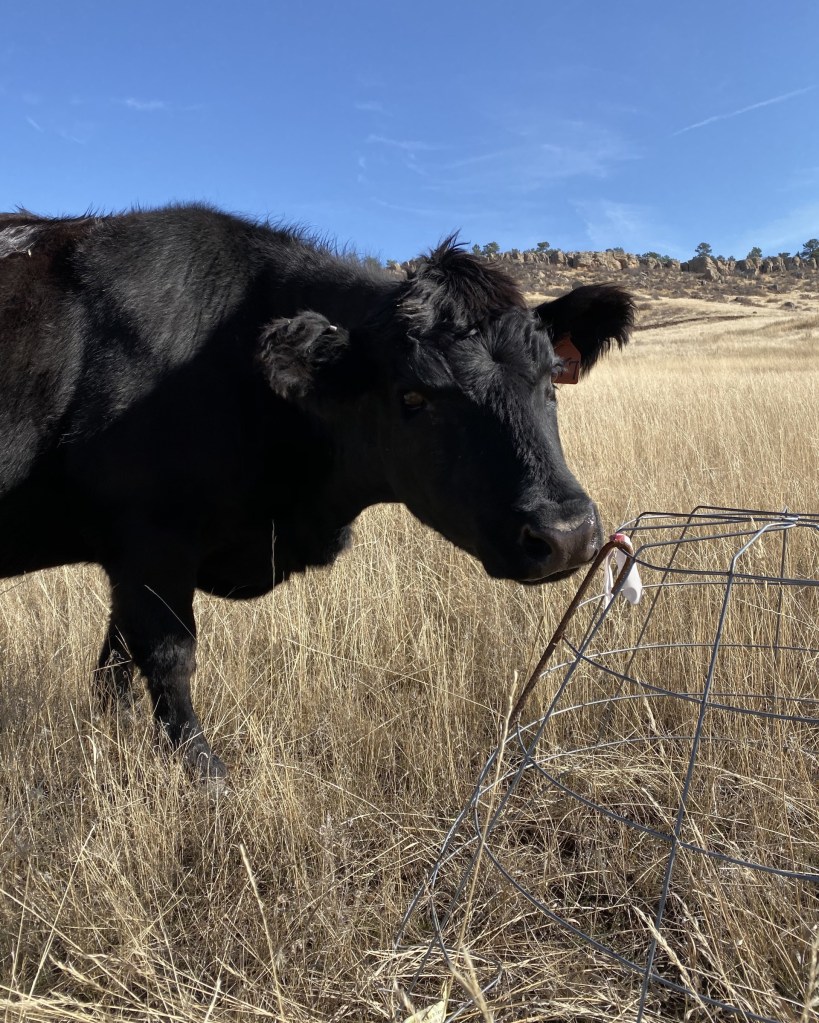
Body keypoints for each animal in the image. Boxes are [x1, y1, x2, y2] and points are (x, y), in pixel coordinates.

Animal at [0, 204, 633, 782]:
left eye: (550, 378)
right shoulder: (152, 542)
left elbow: (116, 665)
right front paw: (207, 779)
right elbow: (167, 659)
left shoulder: (132, 563)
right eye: (413, 396)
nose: (565, 533)